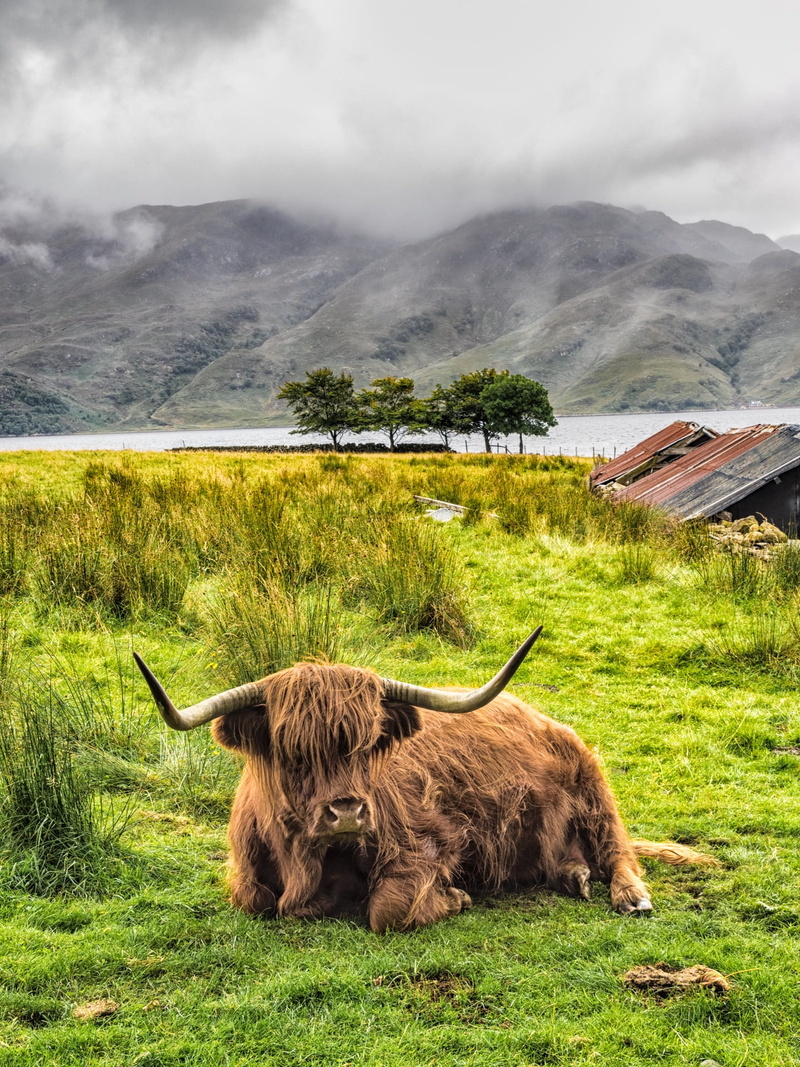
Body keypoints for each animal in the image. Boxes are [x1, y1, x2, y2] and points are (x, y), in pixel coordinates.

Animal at [133, 629, 712, 932]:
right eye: (293, 750)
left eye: (370, 743)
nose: (347, 811)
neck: (307, 860)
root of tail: (543, 717)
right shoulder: (248, 875)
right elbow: (253, 899)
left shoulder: (433, 841)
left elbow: (387, 909)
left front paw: (454, 899)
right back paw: (574, 876)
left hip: (592, 785)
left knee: (617, 848)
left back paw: (629, 895)